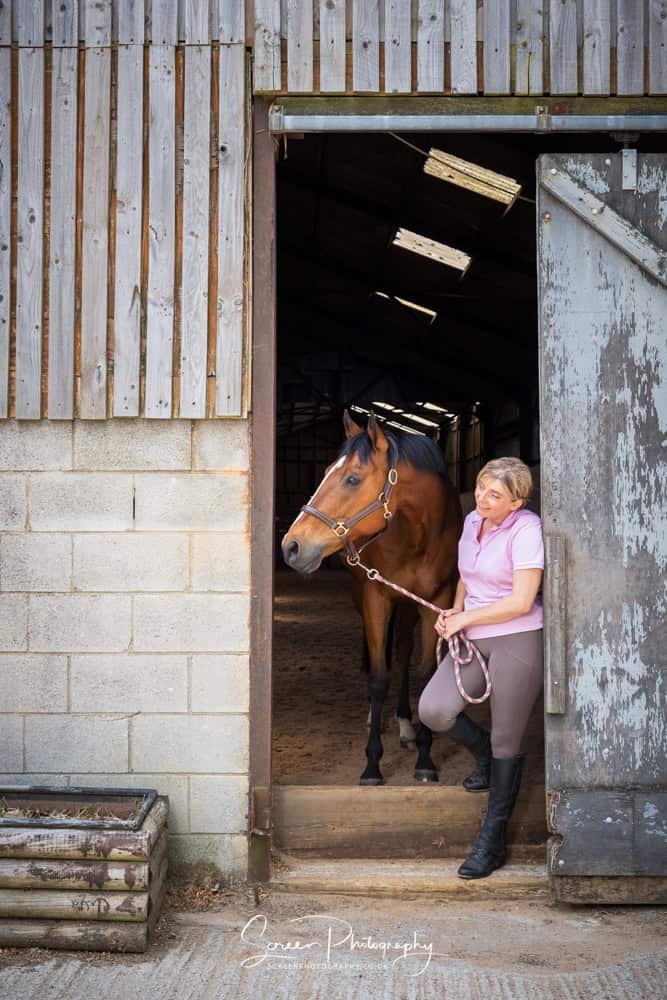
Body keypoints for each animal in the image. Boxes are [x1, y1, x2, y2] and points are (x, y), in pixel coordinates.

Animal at [281, 410, 463, 785]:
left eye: (352, 478)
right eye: (325, 471)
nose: (291, 546)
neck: (417, 536)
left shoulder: (435, 603)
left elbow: (425, 674)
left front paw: (426, 760)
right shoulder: (376, 598)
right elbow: (379, 677)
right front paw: (372, 765)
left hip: (409, 607)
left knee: (404, 652)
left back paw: (406, 723)